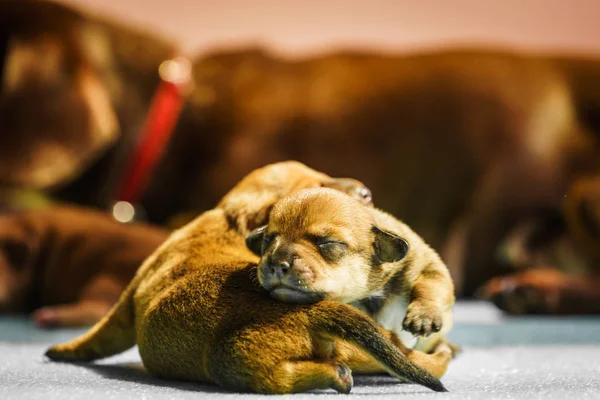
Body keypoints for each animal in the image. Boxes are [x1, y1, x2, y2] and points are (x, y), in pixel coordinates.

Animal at [247, 188, 454, 354]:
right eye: (268, 240)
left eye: (328, 242)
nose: (277, 264)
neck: (371, 295)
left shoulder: (429, 264)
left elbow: (430, 285)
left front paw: (423, 315)